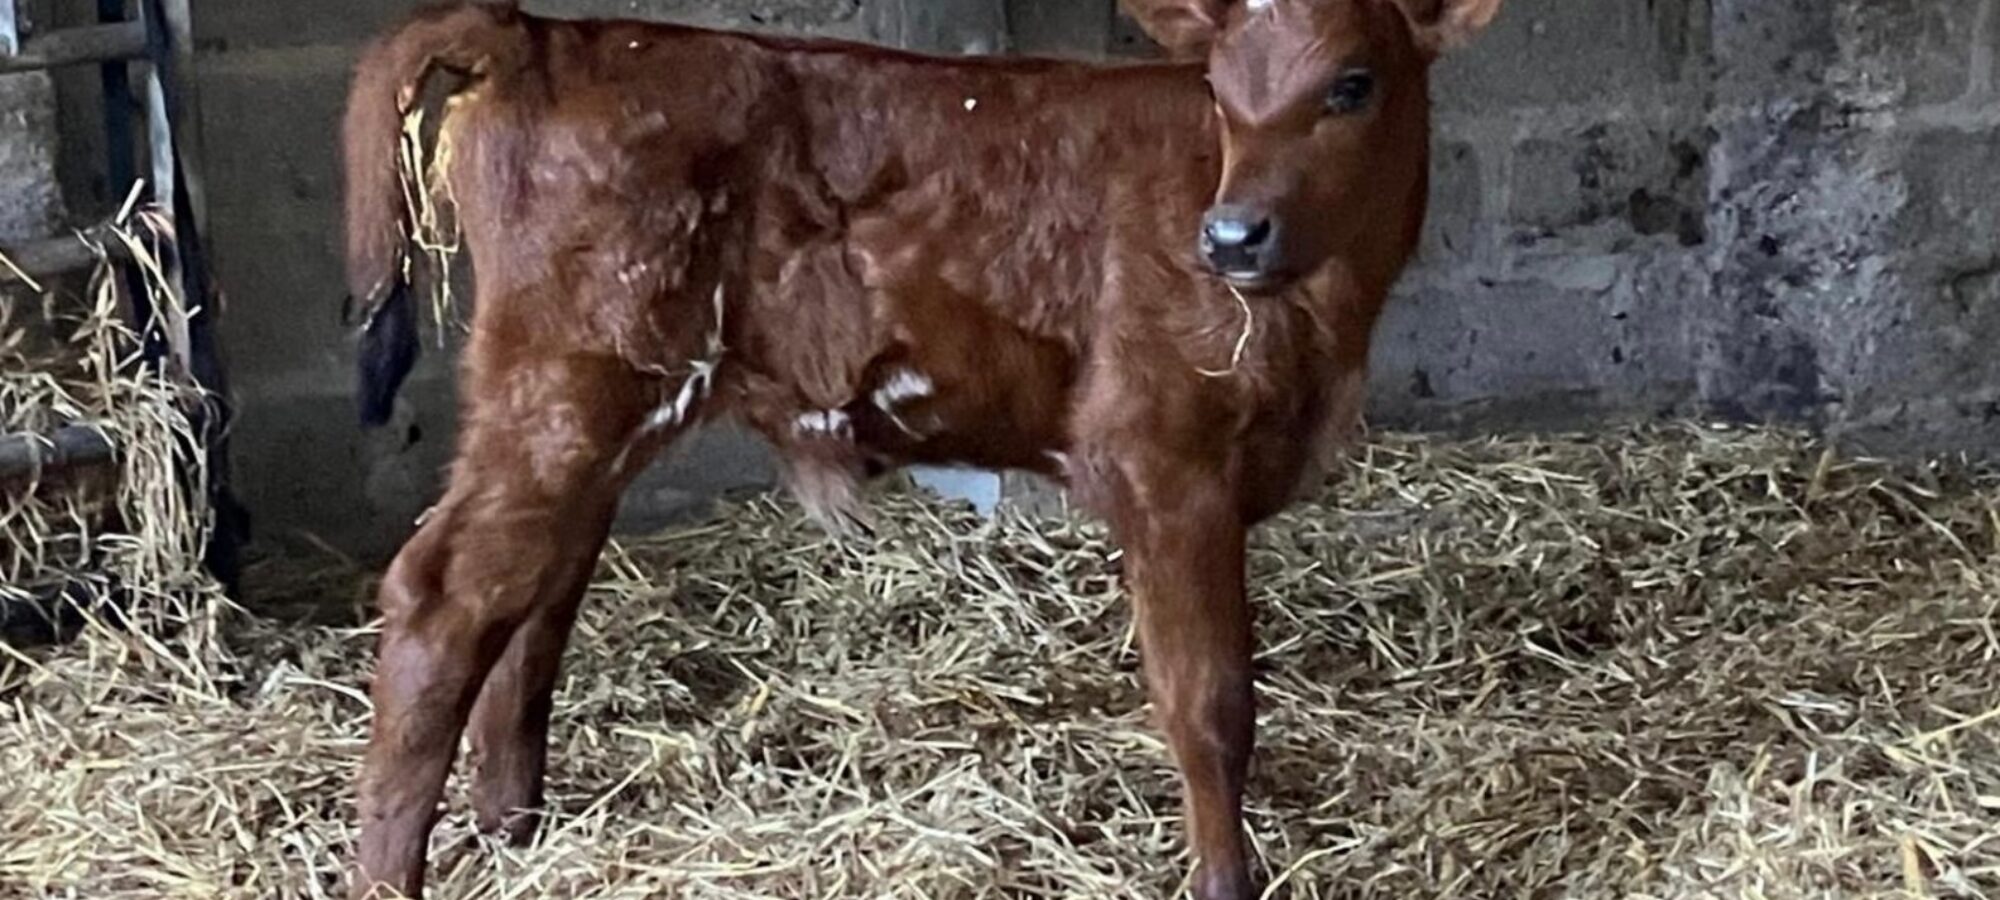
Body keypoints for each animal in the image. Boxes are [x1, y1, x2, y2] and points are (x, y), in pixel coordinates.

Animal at [339, 0, 1502, 896]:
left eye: (1353, 84)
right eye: (1219, 90)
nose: (1232, 236)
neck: (1324, 321)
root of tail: (547, 34)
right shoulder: (1165, 465)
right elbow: (1209, 705)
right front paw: (1226, 879)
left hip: (595, 409)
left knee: (533, 598)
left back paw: (514, 829)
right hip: (561, 384)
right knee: (445, 596)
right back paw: (393, 872)